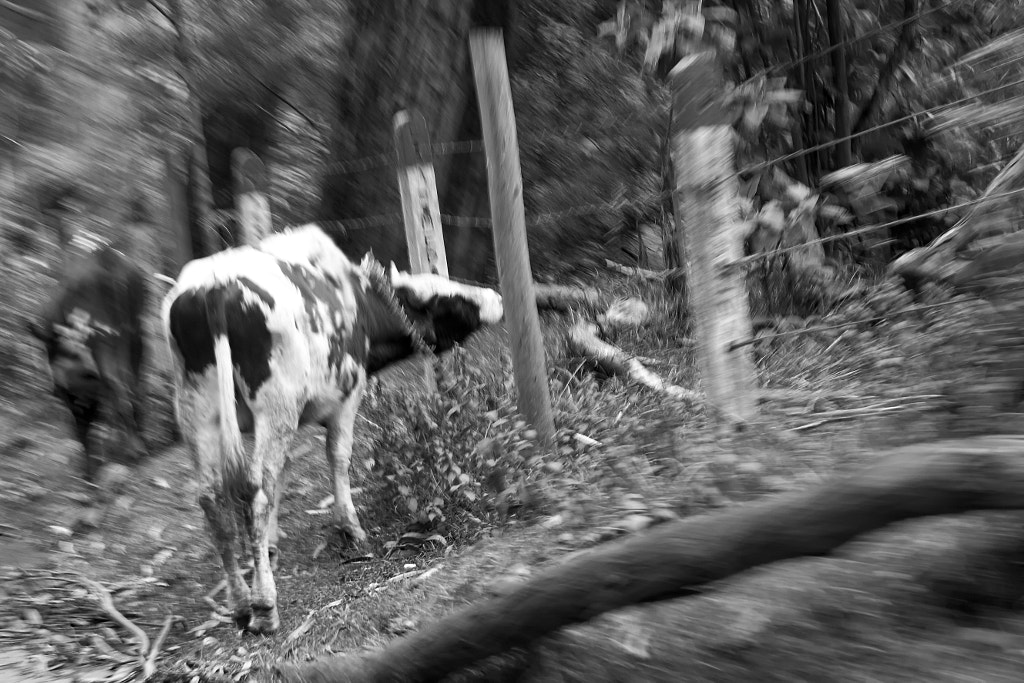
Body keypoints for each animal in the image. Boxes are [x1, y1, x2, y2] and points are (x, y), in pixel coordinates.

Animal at [27, 243, 149, 483]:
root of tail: (106, 256)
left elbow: (82, 426)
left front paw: (89, 472)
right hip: (133, 331)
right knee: (132, 383)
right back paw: (138, 441)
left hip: (103, 335)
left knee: (119, 385)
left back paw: (133, 449)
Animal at [161, 224, 502, 634]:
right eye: (447, 299)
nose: (495, 297)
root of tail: (214, 285)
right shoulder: (347, 397)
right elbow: (338, 458)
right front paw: (351, 529)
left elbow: (283, 474)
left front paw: (272, 546)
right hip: (276, 405)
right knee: (254, 494)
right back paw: (264, 605)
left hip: (198, 412)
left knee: (214, 500)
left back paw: (241, 603)